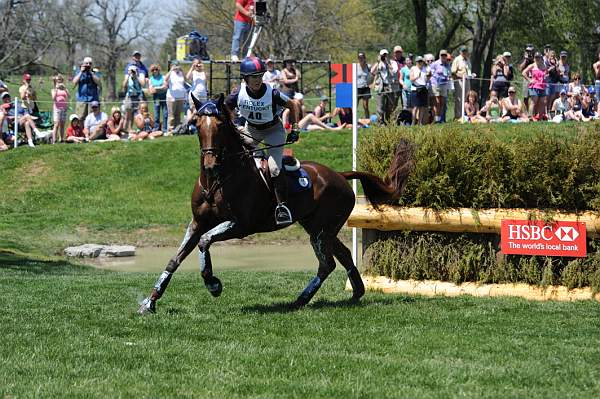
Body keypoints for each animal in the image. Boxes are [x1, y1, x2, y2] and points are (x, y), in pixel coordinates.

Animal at [138, 94, 414, 316]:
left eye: (220, 125)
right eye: (196, 124)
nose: (209, 164)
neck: (217, 180)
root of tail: (339, 175)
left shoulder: (240, 226)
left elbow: (205, 242)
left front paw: (213, 284)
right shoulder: (196, 223)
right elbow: (175, 259)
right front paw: (150, 303)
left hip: (320, 231)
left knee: (327, 263)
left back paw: (300, 300)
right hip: (319, 227)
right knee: (343, 255)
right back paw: (356, 292)